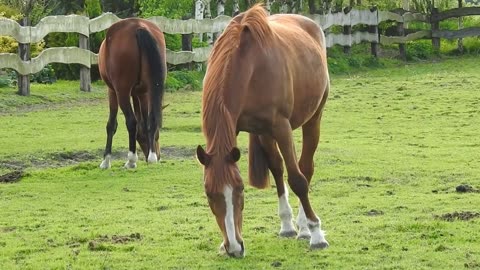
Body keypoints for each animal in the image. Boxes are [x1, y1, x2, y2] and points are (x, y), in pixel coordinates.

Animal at [96, 18, 168, 169]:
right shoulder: (140, 93)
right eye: (157, 135)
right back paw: (151, 157)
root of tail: (138, 26)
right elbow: (145, 121)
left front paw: (106, 160)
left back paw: (131, 160)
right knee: (151, 119)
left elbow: (112, 124)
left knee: (131, 121)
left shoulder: (112, 91)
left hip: (121, 91)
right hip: (149, 89)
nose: (159, 156)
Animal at [196, 4, 330, 258]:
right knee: (277, 168)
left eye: (240, 190)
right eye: (208, 194)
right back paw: (289, 225)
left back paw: (305, 228)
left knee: (305, 168)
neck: (248, 64)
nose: (234, 248)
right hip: (265, 134)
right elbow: (278, 169)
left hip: (313, 119)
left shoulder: (281, 127)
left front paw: (317, 234)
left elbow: (297, 180)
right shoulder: (254, 129)